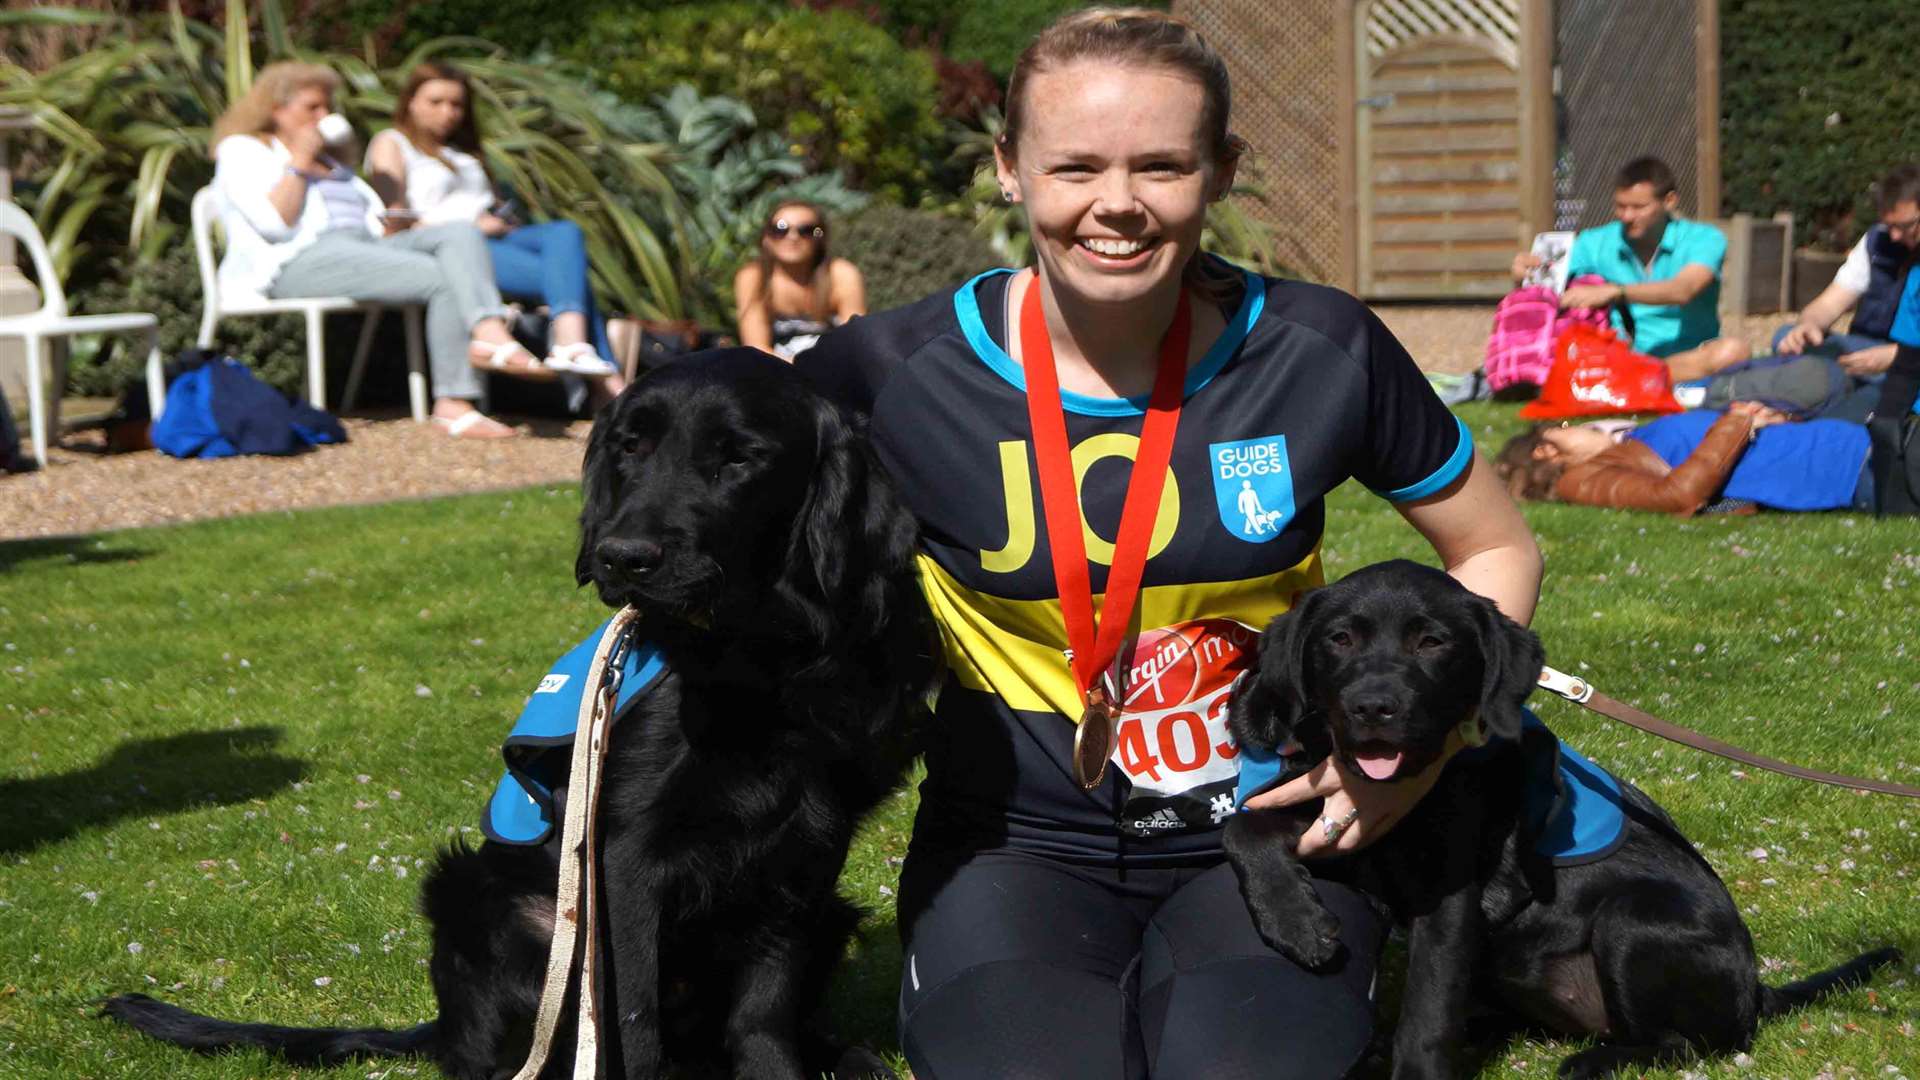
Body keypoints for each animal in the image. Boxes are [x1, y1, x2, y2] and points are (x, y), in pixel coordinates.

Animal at [108, 349, 933, 1068]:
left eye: (738, 458)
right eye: (630, 446)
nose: (621, 557)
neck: (755, 665)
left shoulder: (811, 845)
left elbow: (763, 1014)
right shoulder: (626, 853)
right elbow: (631, 1018)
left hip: (832, 913)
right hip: (478, 898)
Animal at [1221, 557, 1896, 1076]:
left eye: (1432, 642)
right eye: (1340, 639)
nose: (1373, 707)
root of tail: (1757, 989)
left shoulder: (1449, 895)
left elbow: (1428, 1012)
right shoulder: (1335, 821)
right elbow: (1242, 825)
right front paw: (1295, 921)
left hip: (1636, 918)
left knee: (1690, 1043)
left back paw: (1597, 1060)